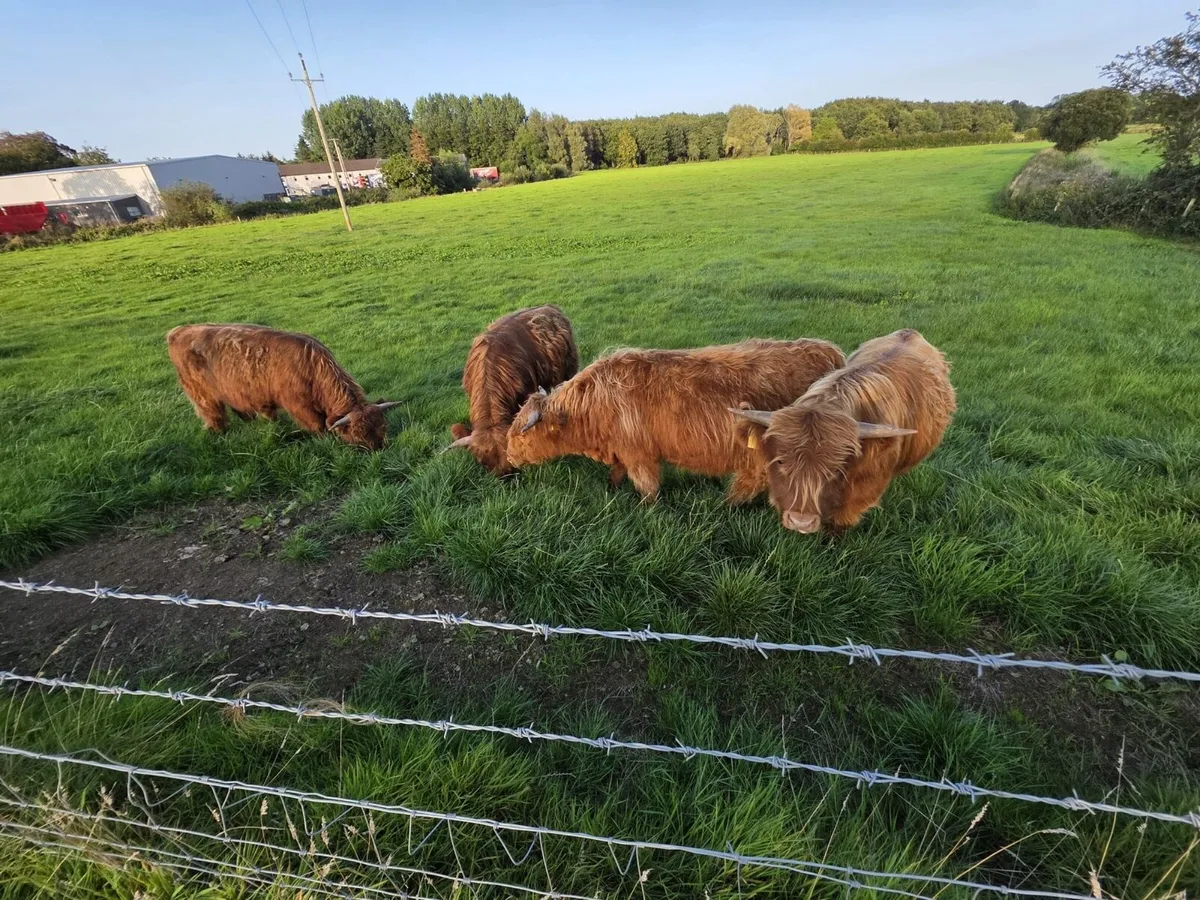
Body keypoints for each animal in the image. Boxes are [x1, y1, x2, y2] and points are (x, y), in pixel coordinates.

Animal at [167, 324, 400, 451]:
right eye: (357, 435)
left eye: (383, 427)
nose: (378, 449)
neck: (312, 366)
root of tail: (179, 331)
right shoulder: (299, 406)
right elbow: (318, 425)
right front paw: (324, 440)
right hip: (200, 393)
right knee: (211, 412)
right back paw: (219, 432)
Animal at [505, 338, 846, 502]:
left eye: (520, 435)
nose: (508, 457)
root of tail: (828, 351)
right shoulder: (622, 450)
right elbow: (616, 474)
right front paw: (611, 490)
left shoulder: (640, 455)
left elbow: (648, 490)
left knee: (754, 478)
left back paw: (727, 505)